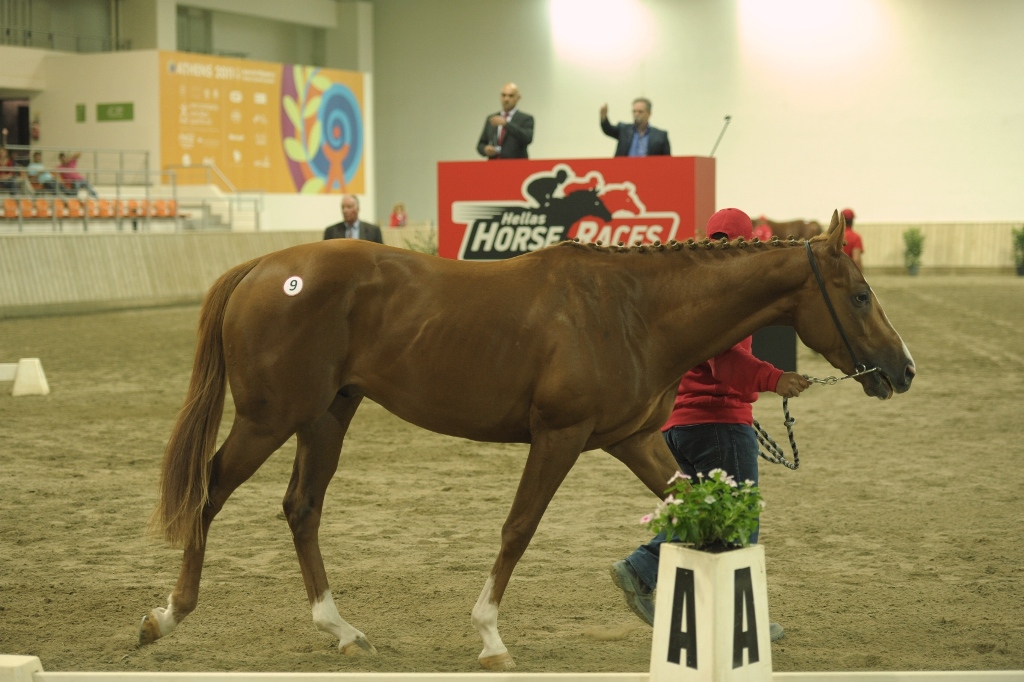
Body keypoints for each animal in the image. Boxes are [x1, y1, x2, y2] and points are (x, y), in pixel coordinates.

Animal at [140, 209, 917, 667]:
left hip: (328, 414)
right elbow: (519, 528)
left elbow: (700, 512)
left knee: (301, 508)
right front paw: (489, 636)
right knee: (208, 493)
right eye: (858, 295)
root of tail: (263, 269)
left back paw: (340, 628)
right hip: (270, 418)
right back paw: (166, 616)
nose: (902, 370)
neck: (634, 309)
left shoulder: (633, 439)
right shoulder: (559, 437)